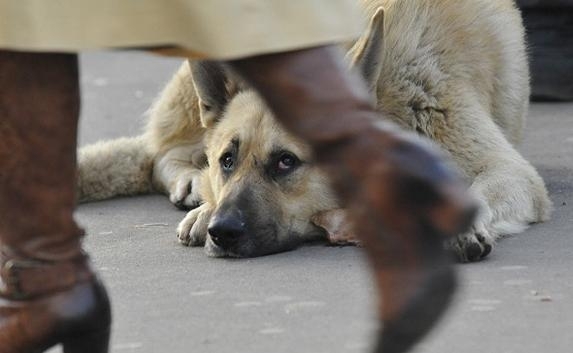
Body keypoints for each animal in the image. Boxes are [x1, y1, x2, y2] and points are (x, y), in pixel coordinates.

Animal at [78, 0, 552, 258]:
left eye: (286, 162)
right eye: (227, 160)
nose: (222, 230)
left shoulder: (508, 172)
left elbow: (480, 191)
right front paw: (204, 208)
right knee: (161, 153)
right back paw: (194, 186)